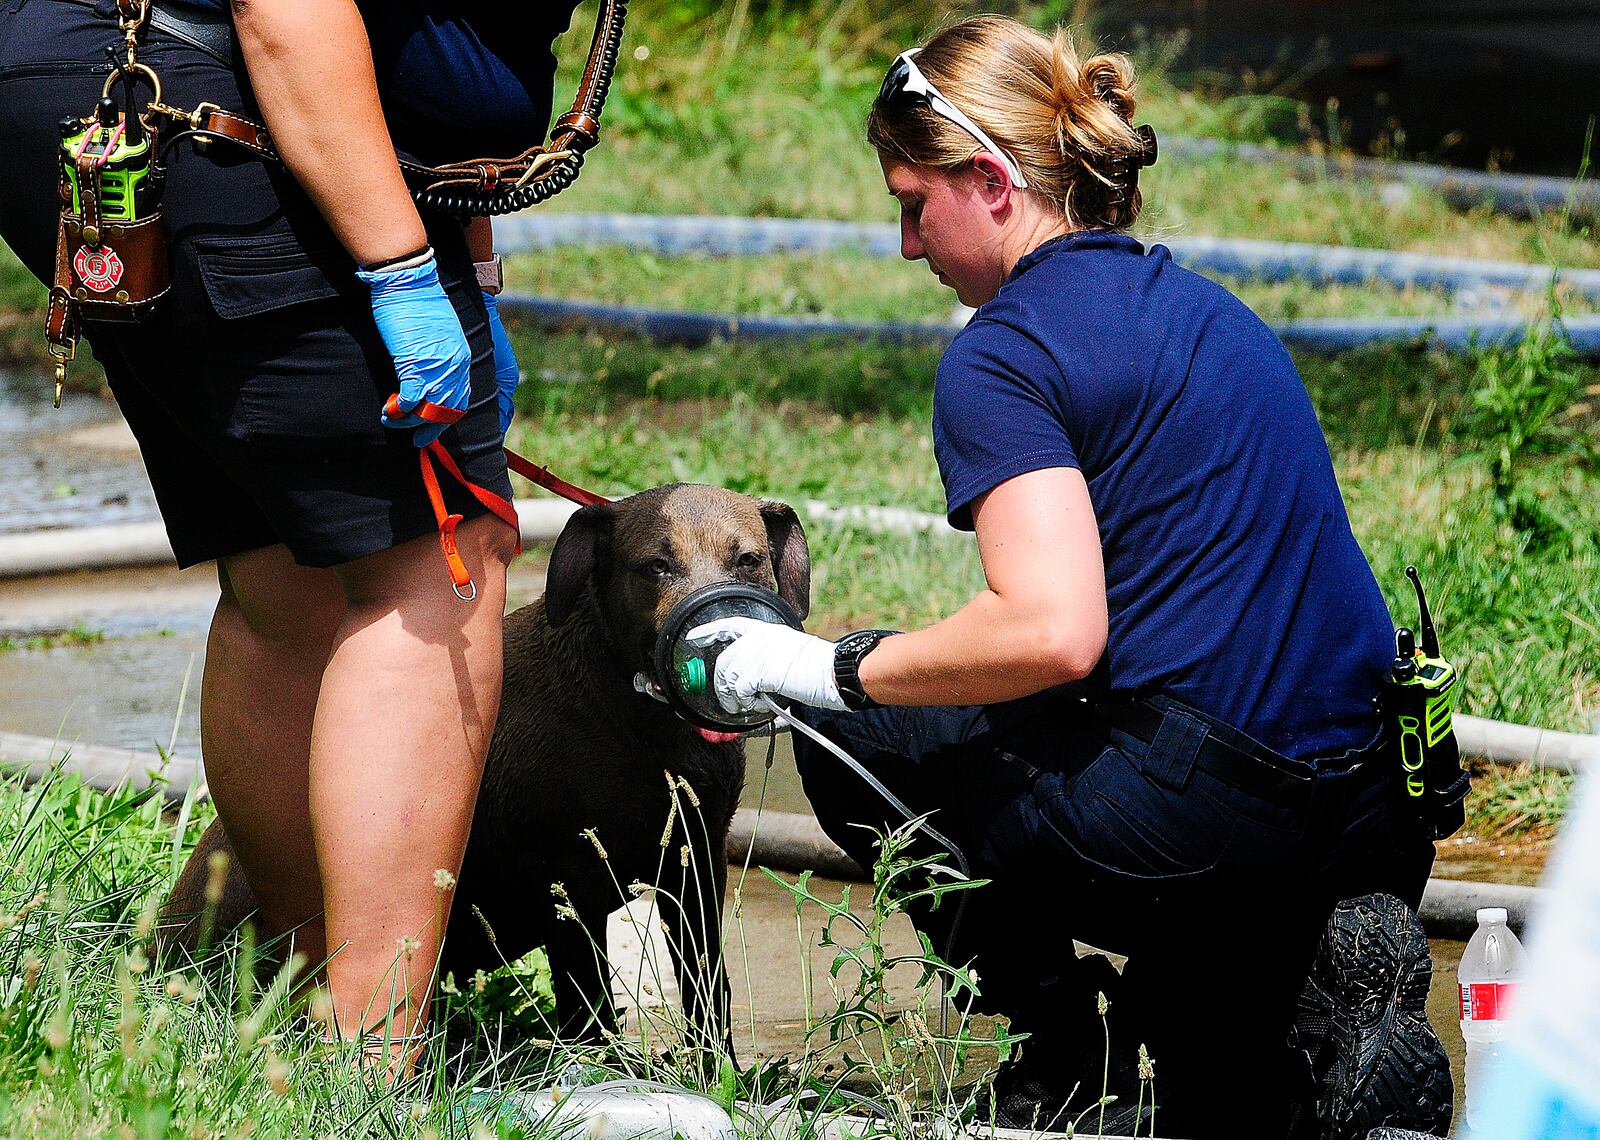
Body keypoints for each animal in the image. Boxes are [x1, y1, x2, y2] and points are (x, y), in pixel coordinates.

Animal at [162, 480, 806, 1050]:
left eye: (748, 560)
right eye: (655, 566)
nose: (718, 638)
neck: (639, 719)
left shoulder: (696, 863)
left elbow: (709, 990)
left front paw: (718, 1076)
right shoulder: (568, 883)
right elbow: (588, 1005)